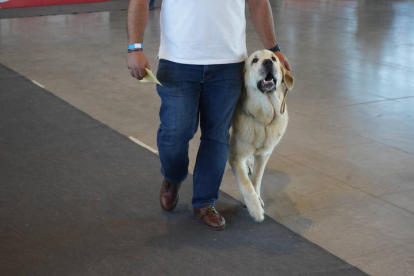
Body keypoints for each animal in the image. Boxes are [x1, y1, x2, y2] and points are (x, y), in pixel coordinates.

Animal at [230, 49, 294, 222]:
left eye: (273, 58)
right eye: (255, 60)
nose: (267, 63)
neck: (264, 117)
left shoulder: (265, 153)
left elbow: (256, 179)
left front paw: (257, 198)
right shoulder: (236, 156)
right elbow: (245, 183)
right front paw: (255, 209)